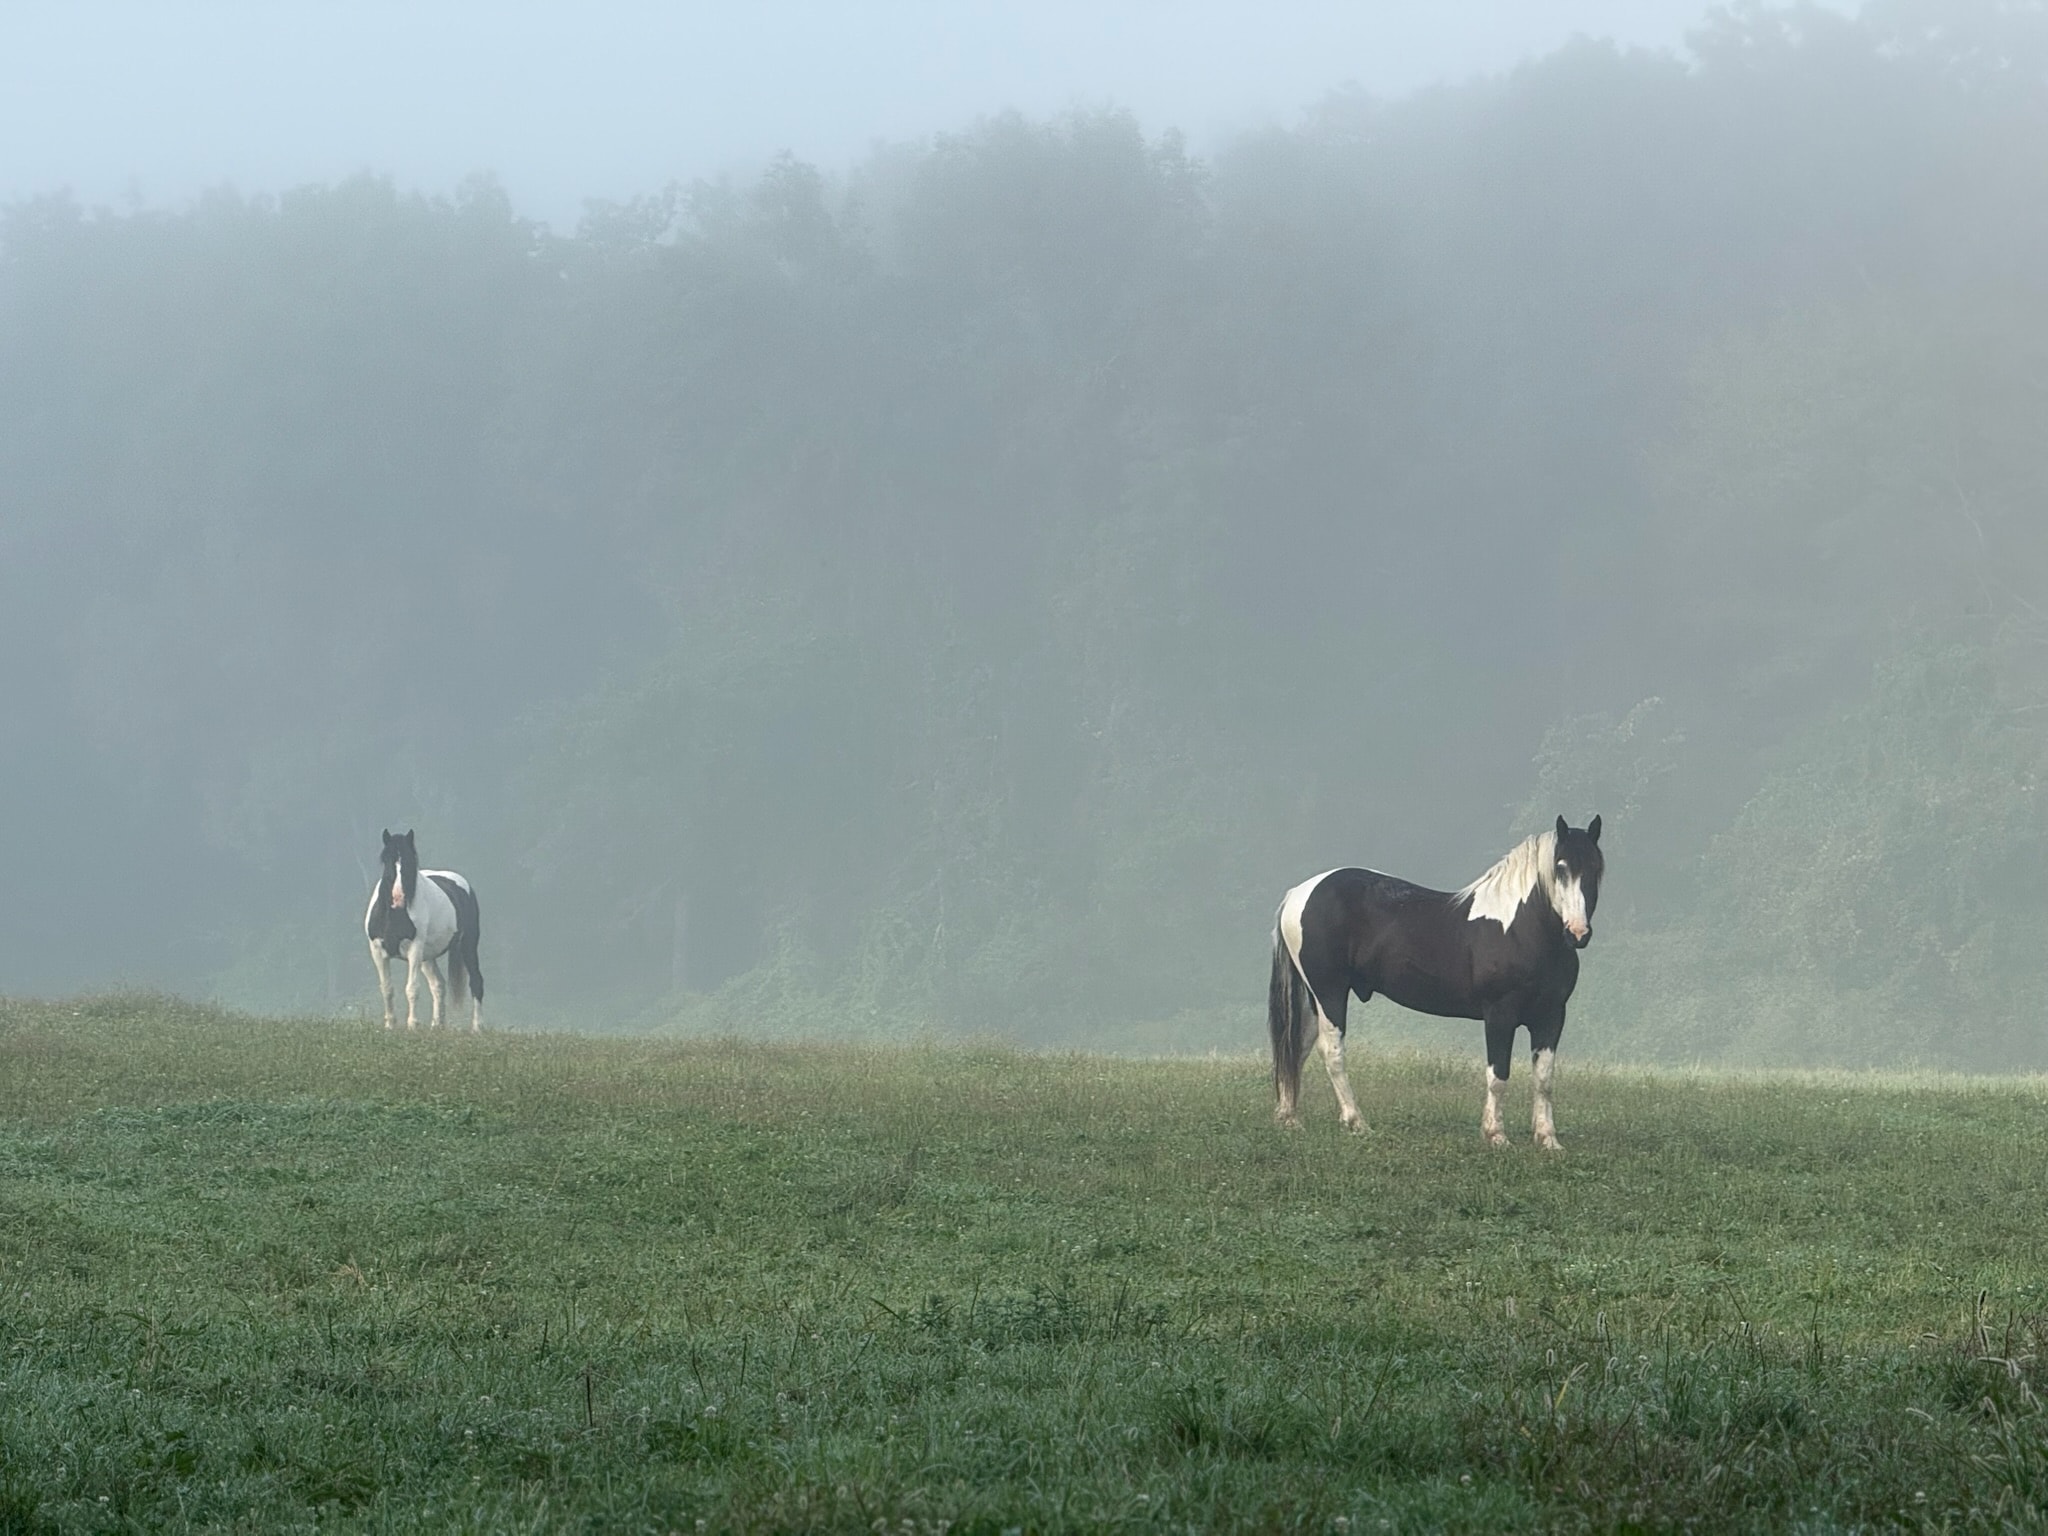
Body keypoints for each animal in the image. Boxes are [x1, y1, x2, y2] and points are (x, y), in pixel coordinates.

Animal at [365, 829, 485, 1032]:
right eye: (387, 861)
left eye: (409, 862)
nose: (398, 899)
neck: (394, 915)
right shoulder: (377, 950)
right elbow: (387, 988)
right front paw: (390, 1025)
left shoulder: (414, 948)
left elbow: (412, 988)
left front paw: (412, 1025)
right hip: (428, 956)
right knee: (438, 985)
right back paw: (437, 1025)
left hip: (467, 945)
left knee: (476, 981)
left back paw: (476, 1027)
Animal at [1269, 816, 1603, 1148]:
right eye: (1560, 867)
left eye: (1596, 868)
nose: (1577, 932)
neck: (1519, 929)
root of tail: (1298, 894)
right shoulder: (1499, 1015)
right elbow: (1498, 1076)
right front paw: (1496, 1135)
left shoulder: (1551, 1016)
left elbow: (1544, 1079)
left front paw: (1548, 1139)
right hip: (1330, 993)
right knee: (1331, 1051)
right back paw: (1356, 1122)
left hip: (1314, 998)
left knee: (1297, 1046)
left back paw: (1290, 1120)